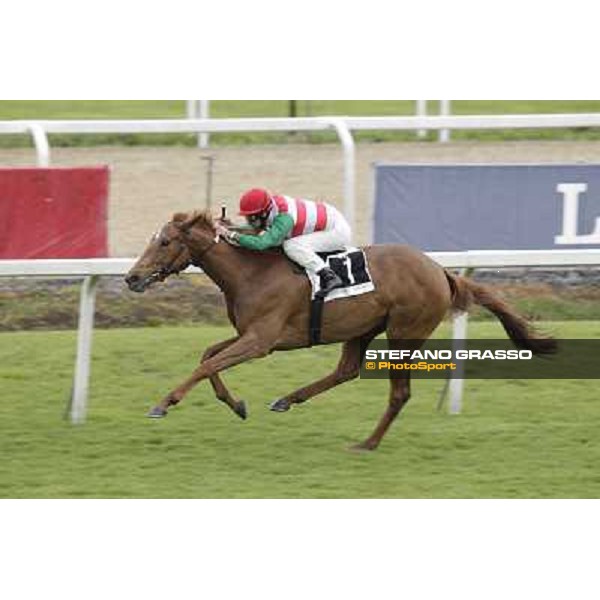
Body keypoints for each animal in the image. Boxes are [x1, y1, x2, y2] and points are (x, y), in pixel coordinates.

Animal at [124, 211, 556, 450]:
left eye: (165, 242)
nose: (131, 278)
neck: (251, 272)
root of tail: (440, 271)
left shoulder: (261, 341)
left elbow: (205, 365)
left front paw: (163, 403)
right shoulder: (253, 335)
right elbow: (209, 356)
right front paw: (237, 404)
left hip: (404, 333)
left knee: (399, 393)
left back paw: (367, 443)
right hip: (363, 328)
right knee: (346, 370)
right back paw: (288, 399)